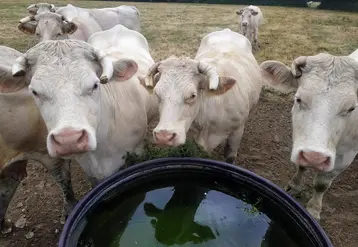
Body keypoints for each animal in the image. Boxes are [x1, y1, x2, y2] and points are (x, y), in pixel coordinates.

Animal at [260, 48, 358, 220]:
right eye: (298, 99)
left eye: (351, 108)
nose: (315, 157)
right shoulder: (299, 142)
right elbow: (301, 166)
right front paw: (294, 187)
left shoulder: (346, 156)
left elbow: (322, 184)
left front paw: (313, 209)